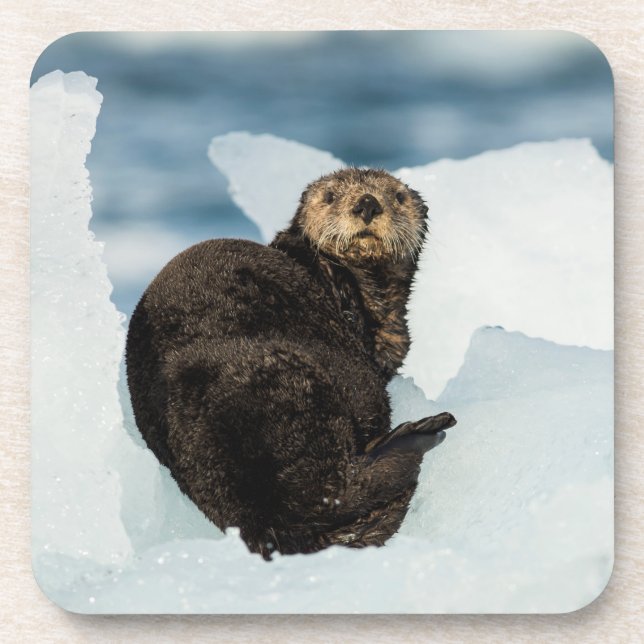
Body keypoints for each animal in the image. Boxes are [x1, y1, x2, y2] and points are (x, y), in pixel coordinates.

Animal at [126, 168, 456, 559]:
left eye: (398, 197)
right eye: (330, 196)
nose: (367, 203)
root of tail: (262, 520)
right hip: (304, 388)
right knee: (338, 488)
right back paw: (422, 432)